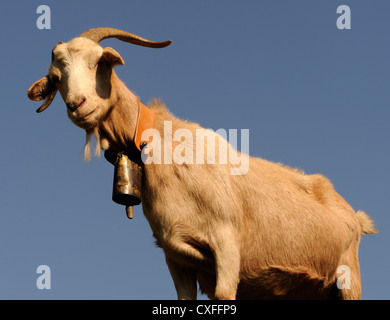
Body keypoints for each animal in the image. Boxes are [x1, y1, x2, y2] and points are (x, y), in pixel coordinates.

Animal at [28, 27, 378, 300]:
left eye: (99, 62)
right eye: (57, 78)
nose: (78, 105)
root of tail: (356, 217)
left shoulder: (227, 243)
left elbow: (224, 293)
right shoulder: (176, 258)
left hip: (349, 280)